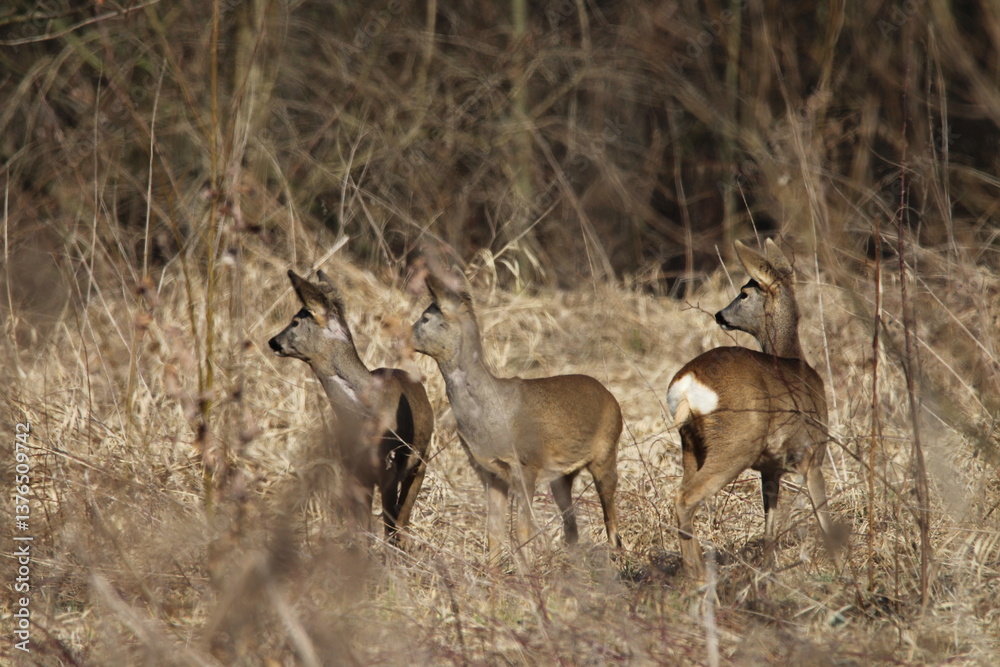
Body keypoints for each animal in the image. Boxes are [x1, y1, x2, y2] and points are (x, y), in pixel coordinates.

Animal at [268, 270, 433, 545]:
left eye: (295, 321)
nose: (273, 341)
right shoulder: (353, 471)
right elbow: (361, 531)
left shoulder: (388, 471)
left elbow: (389, 525)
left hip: (421, 460)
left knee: (402, 520)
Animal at [411, 278, 623, 567]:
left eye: (425, 317)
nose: (405, 334)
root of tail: (610, 395)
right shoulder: (488, 471)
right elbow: (494, 530)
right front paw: (492, 574)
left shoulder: (526, 463)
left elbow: (522, 529)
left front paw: (527, 571)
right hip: (562, 474)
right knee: (571, 526)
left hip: (606, 450)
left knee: (610, 516)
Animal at [666, 238, 842, 582]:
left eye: (744, 293)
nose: (719, 314)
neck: (794, 359)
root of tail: (687, 383)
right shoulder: (813, 452)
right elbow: (823, 515)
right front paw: (843, 568)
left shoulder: (770, 468)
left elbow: (769, 527)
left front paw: (767, 571)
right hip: (735, 441)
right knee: (685, 498)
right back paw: (699, 576)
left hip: (690, 443)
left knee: (682, 494)